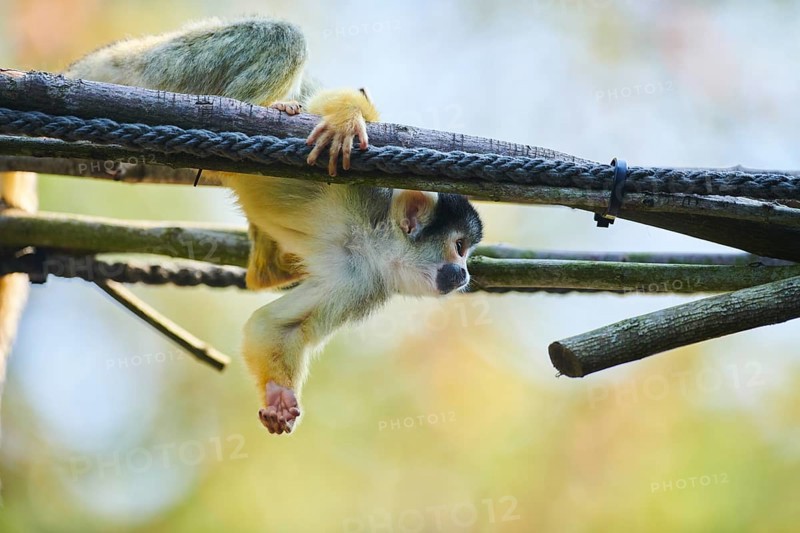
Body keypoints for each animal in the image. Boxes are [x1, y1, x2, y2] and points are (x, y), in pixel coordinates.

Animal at [61, 17, 484, 435]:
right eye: (459, 247)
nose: (464, 273)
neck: (370, 237)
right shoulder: (367, 189)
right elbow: (332, 104)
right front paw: (347, 119)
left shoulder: (363, 282)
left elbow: (275, 328)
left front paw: (279, 396)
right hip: (168, 64)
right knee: (282, 37)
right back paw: (262, 107)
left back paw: (268, 268)